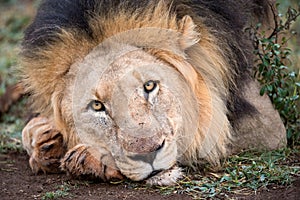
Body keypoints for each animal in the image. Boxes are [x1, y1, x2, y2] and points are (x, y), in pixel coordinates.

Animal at [19, 0, 286, 185]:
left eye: (149, 86)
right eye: (97, 106)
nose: (147, 154)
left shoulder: (268, 126)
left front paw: (87, 158)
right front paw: (45, 141)